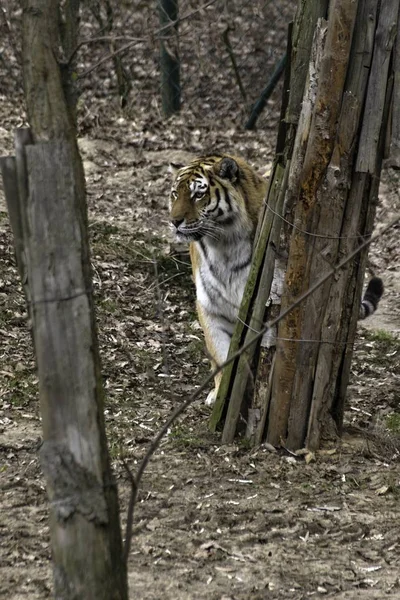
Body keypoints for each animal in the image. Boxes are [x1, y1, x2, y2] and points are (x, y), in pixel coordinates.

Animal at [167, 155, 382, 408]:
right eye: (175, 193)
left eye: (198, 194)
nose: (174, 221)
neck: (222, 247)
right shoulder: (210, 307)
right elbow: (219, 354)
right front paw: (219, 395)